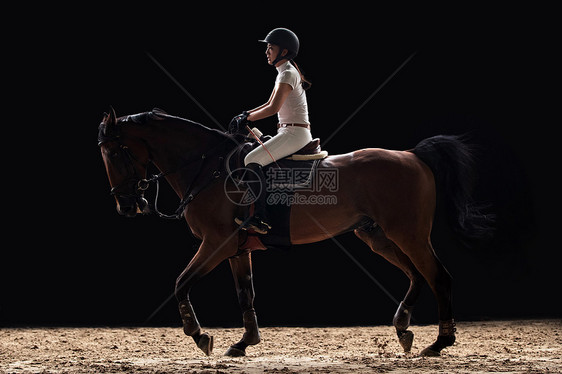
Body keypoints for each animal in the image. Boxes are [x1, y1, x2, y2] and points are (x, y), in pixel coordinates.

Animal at [99, 107, 490, 356]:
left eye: (115, 152)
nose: (127, 206)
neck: (207, 167)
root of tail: (412, 155)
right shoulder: (237, 250)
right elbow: (245, 295)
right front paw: (244, 343)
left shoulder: (216, 244)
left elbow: (181, 283)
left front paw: (199, 336)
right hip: (377, 235)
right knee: (416, 275)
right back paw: (403, 327)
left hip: (409, 234)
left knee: (438, 277)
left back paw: (439, 343)